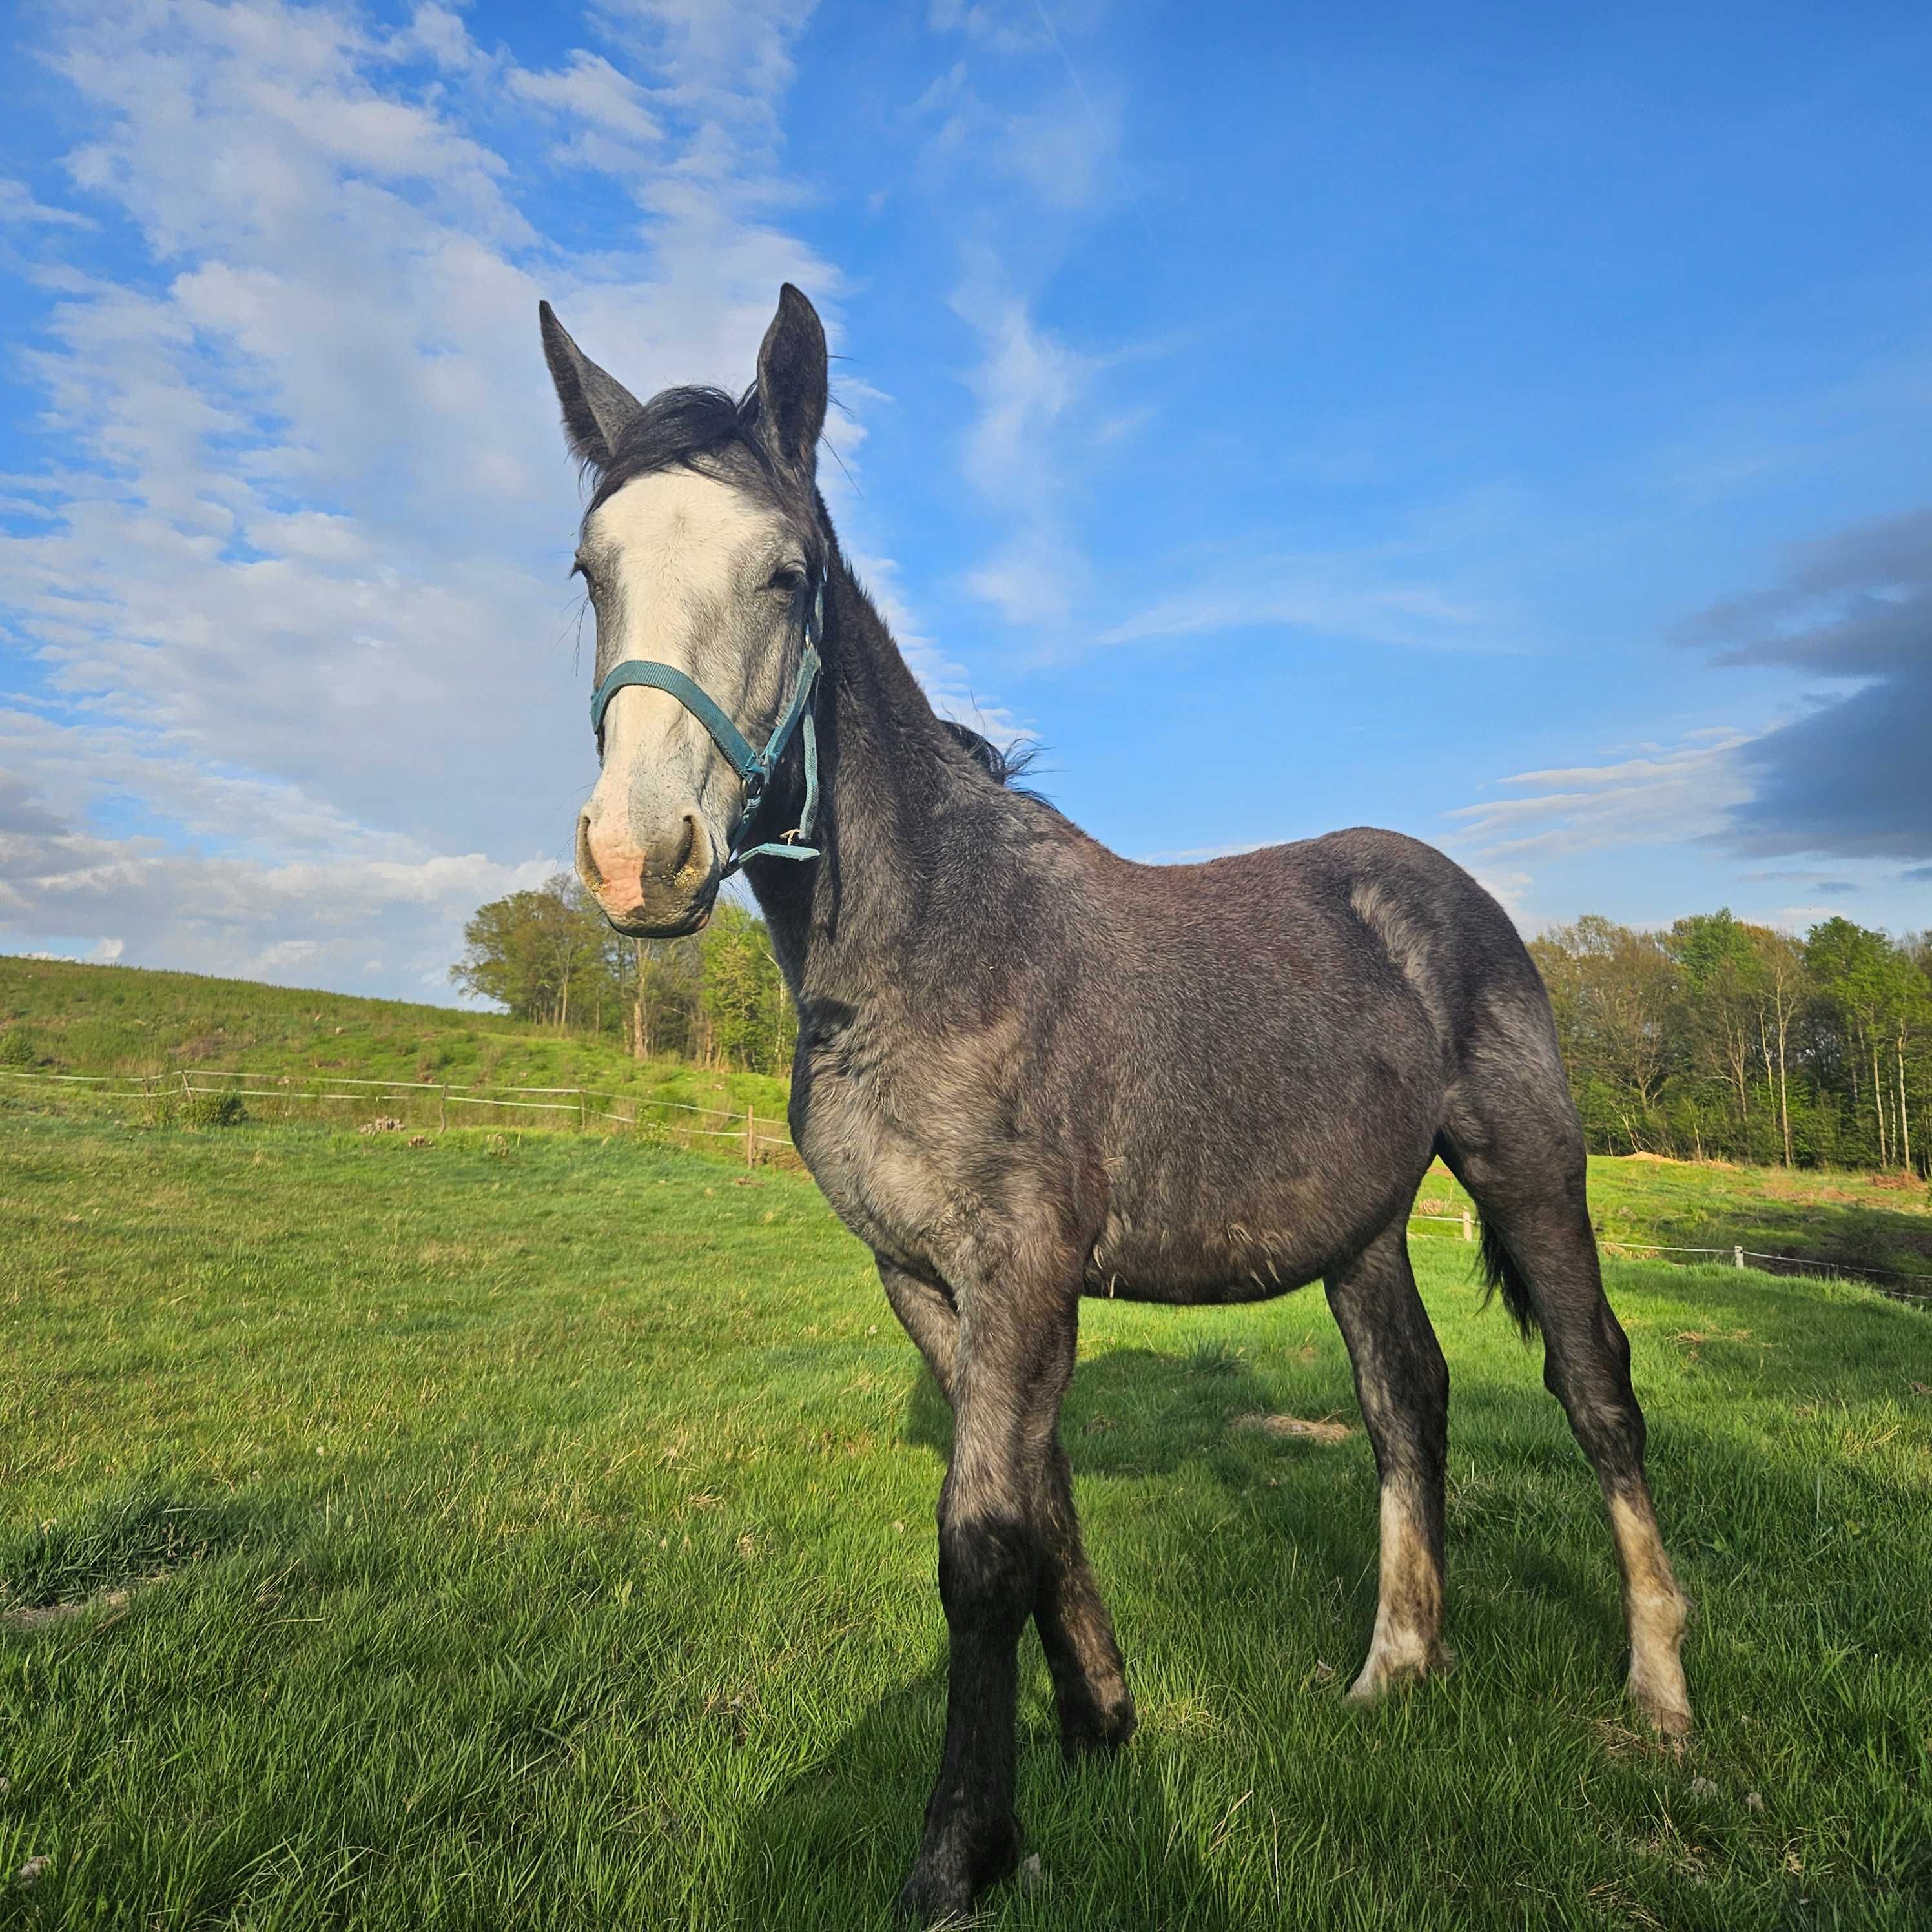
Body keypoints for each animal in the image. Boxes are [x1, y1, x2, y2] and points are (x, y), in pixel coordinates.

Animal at [533, 282, 1692, 1917]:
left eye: (787, 571)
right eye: (593, 570)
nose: (642, 858)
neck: (927, 942)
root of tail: (1444, 890)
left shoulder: (1021, 1267)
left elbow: (980, 1545)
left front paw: (958, 1851)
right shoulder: (924, 1278)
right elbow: (1039, 1505)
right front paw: (1095, 1722)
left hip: (1529, 1169)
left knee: (1595, 1392)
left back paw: (1659, 1694)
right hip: (1358, 1229)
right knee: (1405, 1401)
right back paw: (1393, 1667)